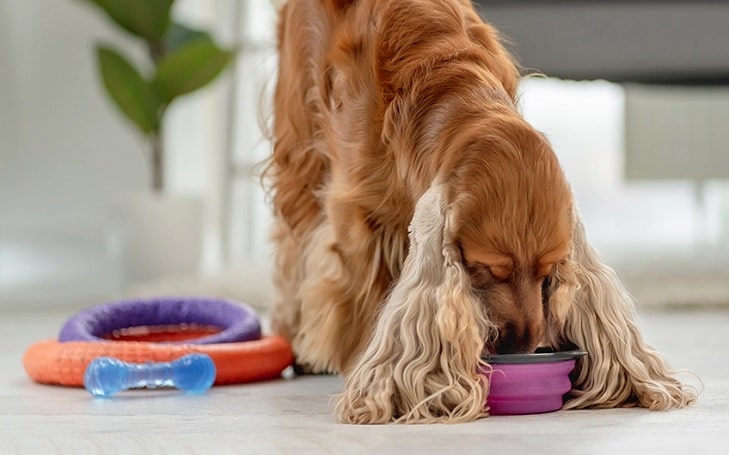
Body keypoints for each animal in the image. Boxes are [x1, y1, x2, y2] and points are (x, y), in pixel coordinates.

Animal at [264, 0, 696, 424]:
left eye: (548, 272)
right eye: (489, 269)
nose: (521, 349)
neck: (447, 85)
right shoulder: (358, 214)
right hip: (300, 150)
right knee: (291, 246)